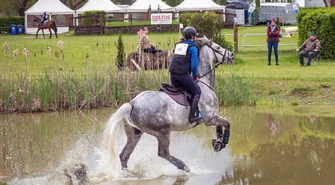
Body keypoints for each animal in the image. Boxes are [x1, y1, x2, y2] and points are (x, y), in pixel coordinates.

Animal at [103, 36, 235, 173]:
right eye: (218, 47)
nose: (231, 55)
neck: (204, 83)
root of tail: (132, 104)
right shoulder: (209, 118)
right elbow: (227, 123)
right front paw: (223, 141)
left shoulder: (213, 116)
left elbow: (220, 125)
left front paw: (218, 142)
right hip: (163, 131)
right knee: (163, 153)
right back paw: (184, 166)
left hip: (135, 134)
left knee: (124, 155)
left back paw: (129, 174)